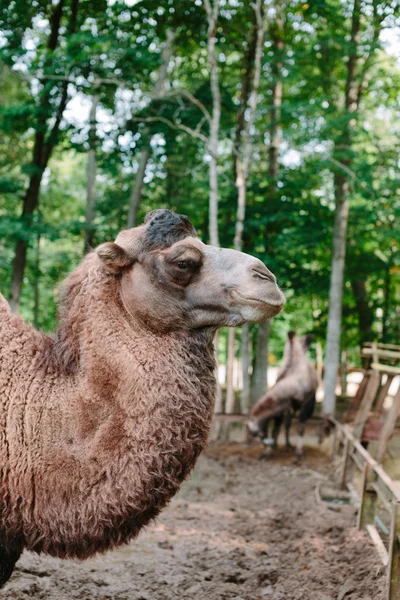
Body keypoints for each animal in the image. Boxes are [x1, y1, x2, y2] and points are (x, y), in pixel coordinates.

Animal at [247, 330, 318, 458]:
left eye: (255, 433)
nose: (265, 443)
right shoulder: (282, 406)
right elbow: (276, 429)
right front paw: (267, 452)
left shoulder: (305, 403)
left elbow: (300, 428)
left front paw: (299, 453)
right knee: (286, 424)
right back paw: (284, 444)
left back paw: (289, 445)